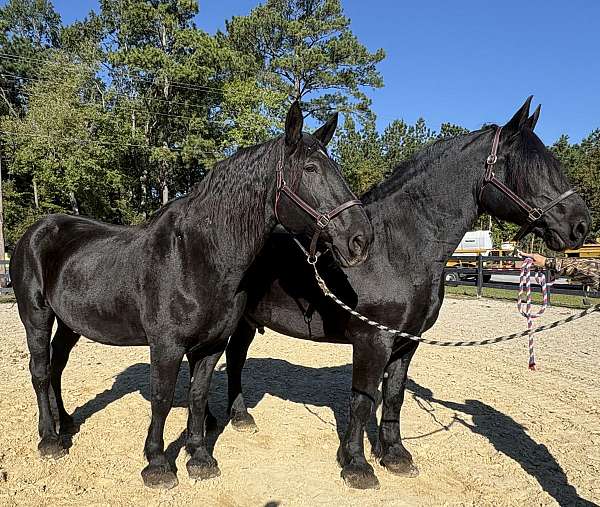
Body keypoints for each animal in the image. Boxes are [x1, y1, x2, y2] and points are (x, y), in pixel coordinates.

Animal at [9, 102, 372, 488]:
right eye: (310, 168)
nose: (360, 239)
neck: (195, 256)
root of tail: (35, 231)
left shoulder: (212, 344)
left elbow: (197, 394)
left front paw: (199, 456)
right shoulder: (166, 345)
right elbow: (162, 398)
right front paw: (157, 463)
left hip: (70, 323)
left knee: (58, 365)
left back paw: (65, 423)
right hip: (36, 315)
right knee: (40, 370)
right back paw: (49, 438)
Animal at [212, 97, 592, 490]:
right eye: (530, 168)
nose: (580, 225)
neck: (397, 250)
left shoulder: (407, 341)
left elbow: (394, 396)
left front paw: (394, 455)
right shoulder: (372, 340)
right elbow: (363, 399)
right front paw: (356, 465)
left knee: (236, 358)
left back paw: (240, 417)